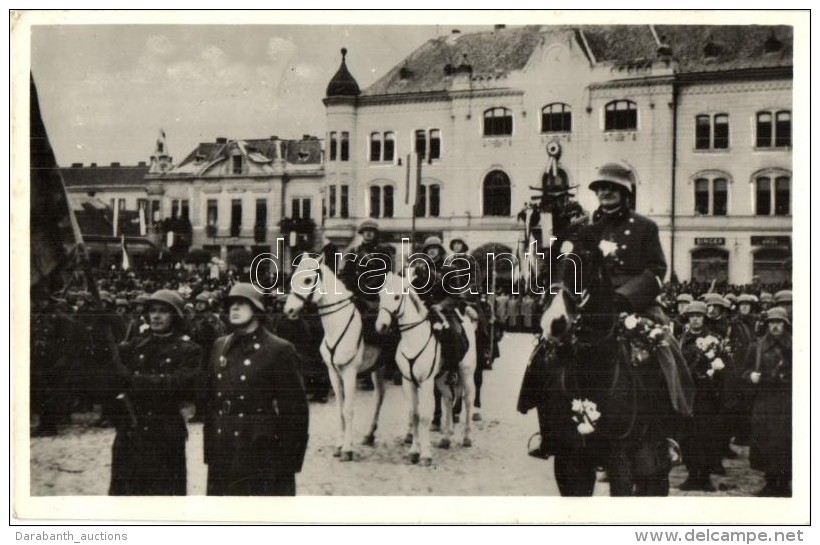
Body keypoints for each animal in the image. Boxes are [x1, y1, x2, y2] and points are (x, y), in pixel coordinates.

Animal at [284, 255, 386, 460]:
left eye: (308, 280)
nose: (288, 310)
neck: (338, 323)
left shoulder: (350, 373)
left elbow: (348, 410)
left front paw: (347, 449)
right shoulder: (333, 373)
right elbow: (340, 409)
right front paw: (339, 446)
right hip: (379, 367)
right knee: (380, 396)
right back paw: (371, 435)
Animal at [374, 272, 478, 464]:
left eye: (397, 297)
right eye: (380, 295)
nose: (381, 326)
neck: (413, 338)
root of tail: (467, 321)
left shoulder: (426, 382)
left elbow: (423, 416)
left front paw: (426, 454)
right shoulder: (408, 382)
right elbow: (414, 414)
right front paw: (414, 451)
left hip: (466, 374)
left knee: (467, 401)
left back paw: (467, 438)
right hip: (442, 378)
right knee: (448, 399)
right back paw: (446, 437)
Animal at [520, 240, 692, 496]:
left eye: (587, 258)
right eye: (548, 259)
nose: (555, 321)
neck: (593, 376)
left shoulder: (620, 460)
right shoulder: (569, 460)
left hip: (654, 461)